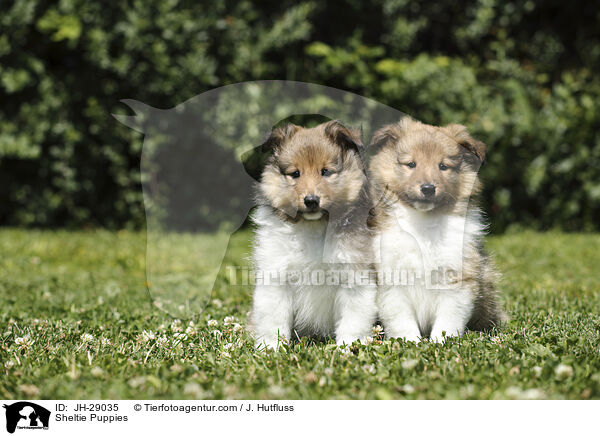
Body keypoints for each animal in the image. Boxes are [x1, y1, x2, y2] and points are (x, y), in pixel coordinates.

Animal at [252, 120, 376, 350]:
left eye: (325, 172)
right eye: (295, 174)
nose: (311, 200)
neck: (315, 226)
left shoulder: (355, 277)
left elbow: (353, 320)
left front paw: (348, 347)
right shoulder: (276, 276)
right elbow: (274, 320)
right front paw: (270, 348)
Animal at [368, 117, 504, 342]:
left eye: (443, 166)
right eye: (411, 164)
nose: (428, 188)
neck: (423, 225)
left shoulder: (458, 278)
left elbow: (448, 319)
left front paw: (440, 342)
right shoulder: (391, 281)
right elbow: (401, 320)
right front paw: (410, 342)